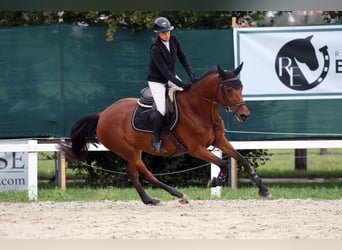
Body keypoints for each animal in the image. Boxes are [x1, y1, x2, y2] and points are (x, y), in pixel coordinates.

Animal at [60, 63, 270, 205]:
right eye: (227, 89)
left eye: (241, 87)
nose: (244, 115)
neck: (200, 109)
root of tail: (102, 114)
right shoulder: (196, 149)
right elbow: (222, 163)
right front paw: (215, 181)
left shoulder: (219, 140)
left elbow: (241, 159)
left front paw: (262, 189)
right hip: (126, 150)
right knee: (146, 173)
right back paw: (178, 195)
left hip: (135, 149)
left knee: (132, 173)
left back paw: (149, 200)